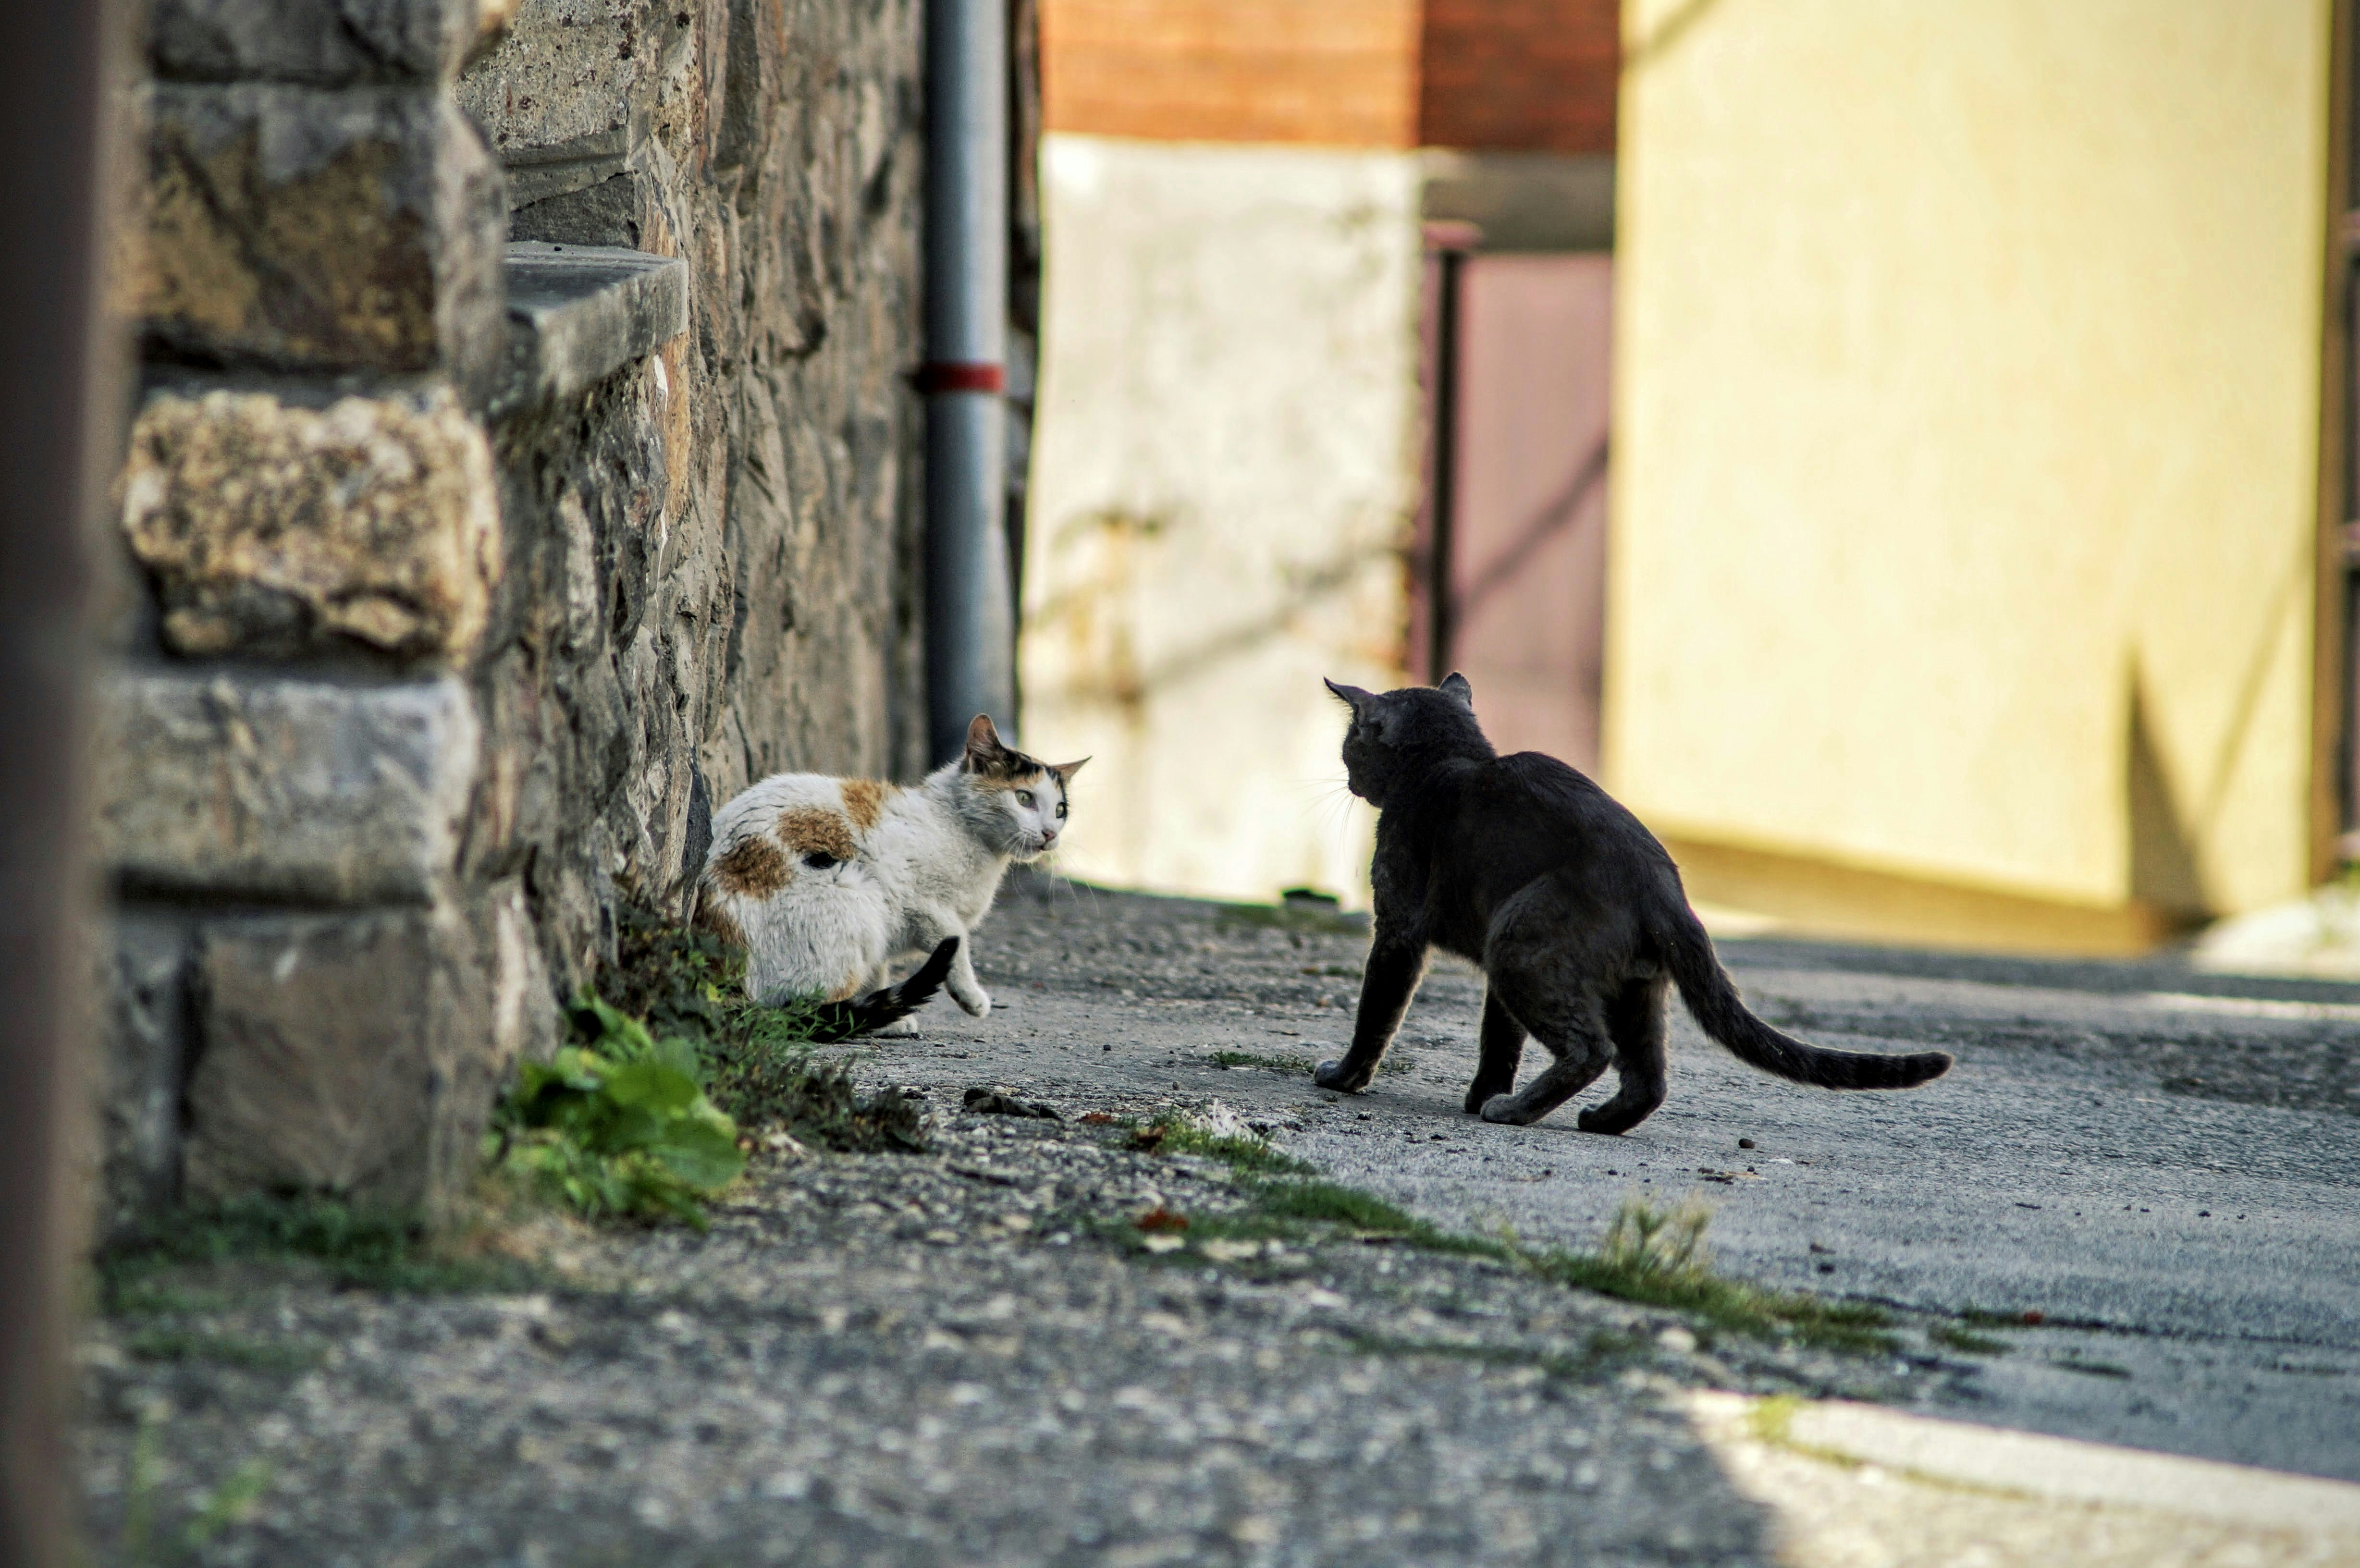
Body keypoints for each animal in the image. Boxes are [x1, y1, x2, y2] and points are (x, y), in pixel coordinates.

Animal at [689, 713, 1081, 1029]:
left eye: (1060, 810)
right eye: (1024, 798)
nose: (1050, 833)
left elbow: (878, 970)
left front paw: (889, 1016)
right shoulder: (923, 904)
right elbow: (956, 945)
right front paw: (971, 997)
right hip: (856, 896)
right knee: (796, 1009)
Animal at [1312, 671, 1954, 1128]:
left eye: (1349, 745)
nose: (1346, 778)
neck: (1447, 760)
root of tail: (1662, 885)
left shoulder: (1397, 929)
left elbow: (1376, 1013)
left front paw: (1344, 1078)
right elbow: (1500, 1040)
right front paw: (1481, 1094)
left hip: (1519, 942)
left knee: (1590, 1049)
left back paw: (1516, 1112)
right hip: (1632, 988)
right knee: (1649, 1077)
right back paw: (1597, 1120)